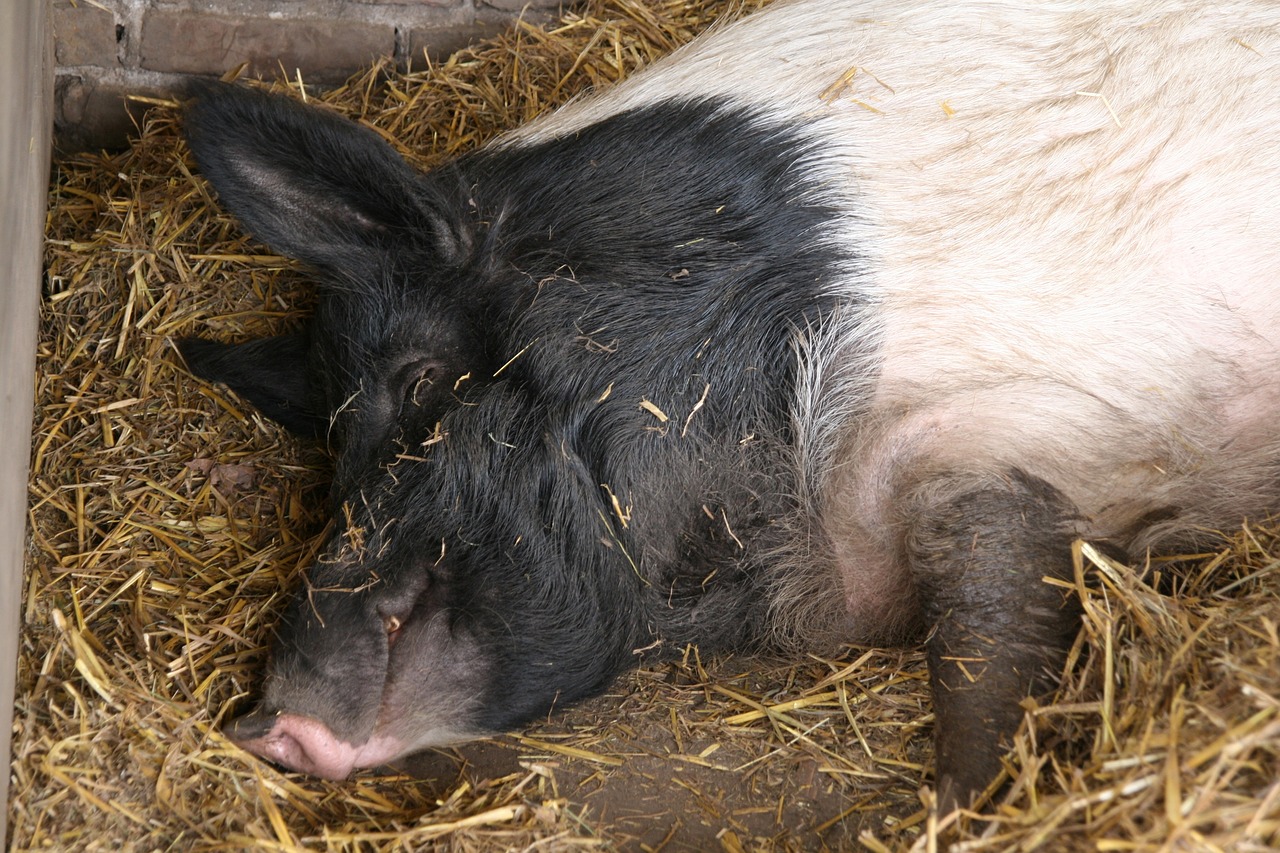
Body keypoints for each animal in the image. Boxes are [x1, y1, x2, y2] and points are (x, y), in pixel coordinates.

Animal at [175, 0, 1280, 809]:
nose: (266, 725)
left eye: (413, 378)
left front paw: (951, 811)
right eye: (328, 455)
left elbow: (986, 641)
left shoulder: (1006, 436)